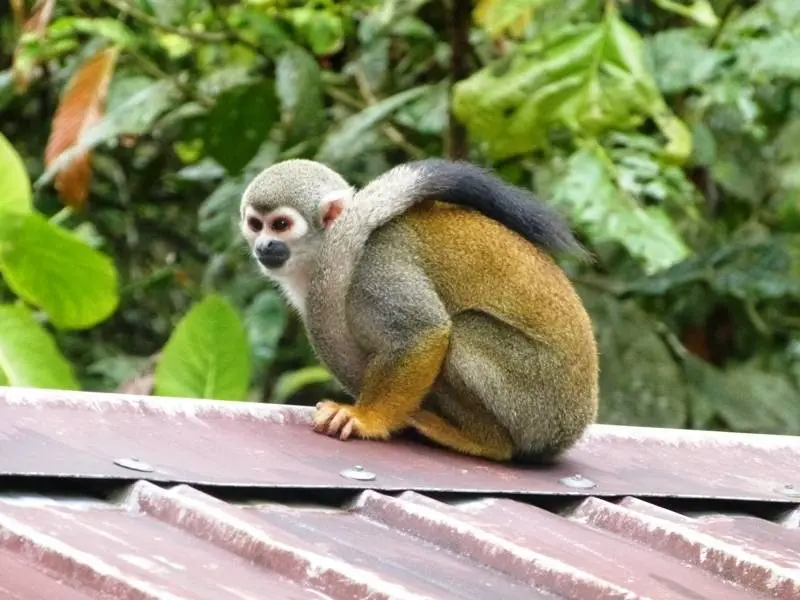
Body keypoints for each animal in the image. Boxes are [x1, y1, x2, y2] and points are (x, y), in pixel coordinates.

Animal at [239, 157, 599, 463]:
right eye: (256, 224)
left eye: (280, 224)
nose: (264, 246)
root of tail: (569, 430)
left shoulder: (372, 268)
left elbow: (421, 331)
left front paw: (366, 419)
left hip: (535, 404)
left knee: (465, 330)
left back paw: (485, 442)